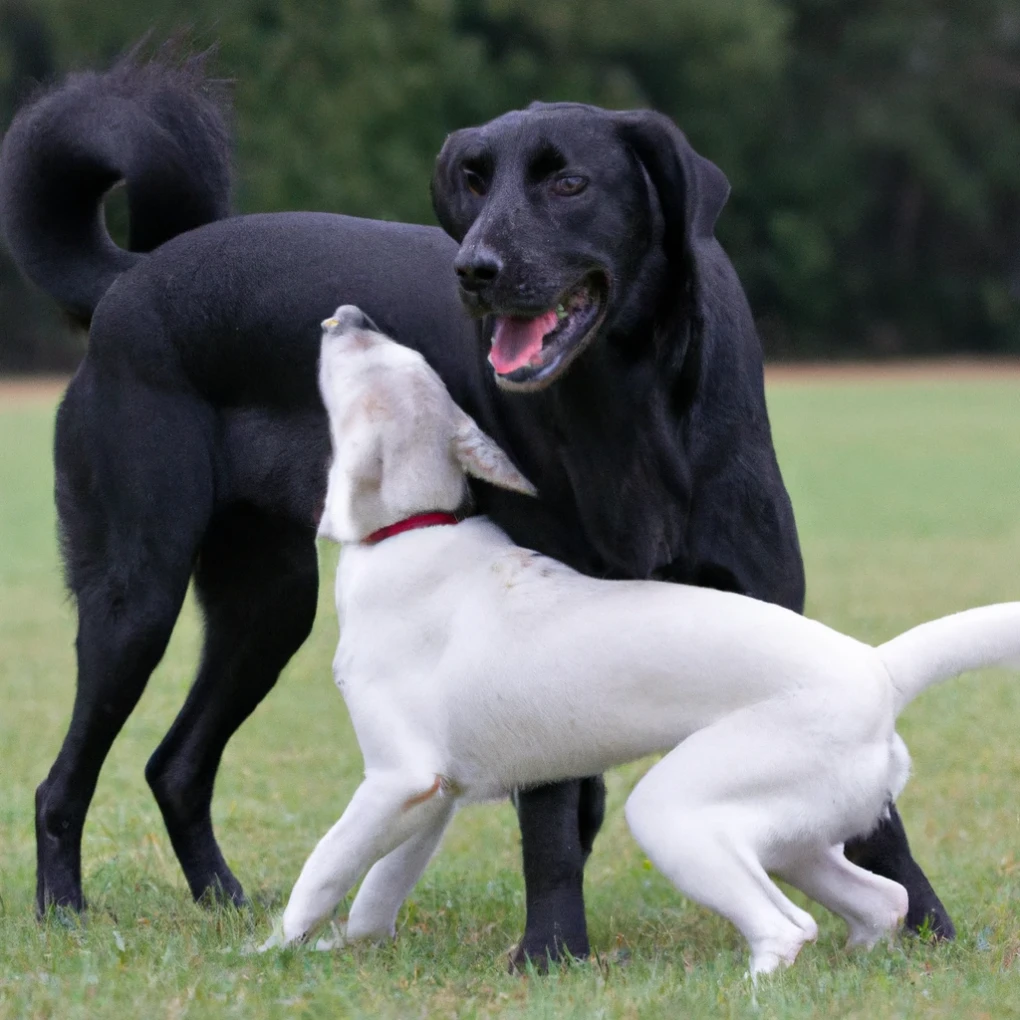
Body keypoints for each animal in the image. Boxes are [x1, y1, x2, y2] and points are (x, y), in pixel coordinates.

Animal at [0, 55, 950, 962]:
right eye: (472, 181)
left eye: (570, 183)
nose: (476, 271)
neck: (629, 400)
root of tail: (129, 281)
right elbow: (552, 818)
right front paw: (552, 950)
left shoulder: (767, 603)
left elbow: (876, 810)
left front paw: (931, 928)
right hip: (138, 597)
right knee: (64, 782)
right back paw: (67, 911)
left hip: (268, 608)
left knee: (176, 766)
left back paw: (226, 902)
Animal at [273, 306, 1020, 975]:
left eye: (368, 361)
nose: (348, 314)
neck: (412, 525)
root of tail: (876, 666)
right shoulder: (434, 797)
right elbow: (378, 890)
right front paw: (351, 948)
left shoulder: (397, 780)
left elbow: (324, 868)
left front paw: (274, 952)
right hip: (791, 836)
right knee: (879, 900)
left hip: (675, 812)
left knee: (788, 928)